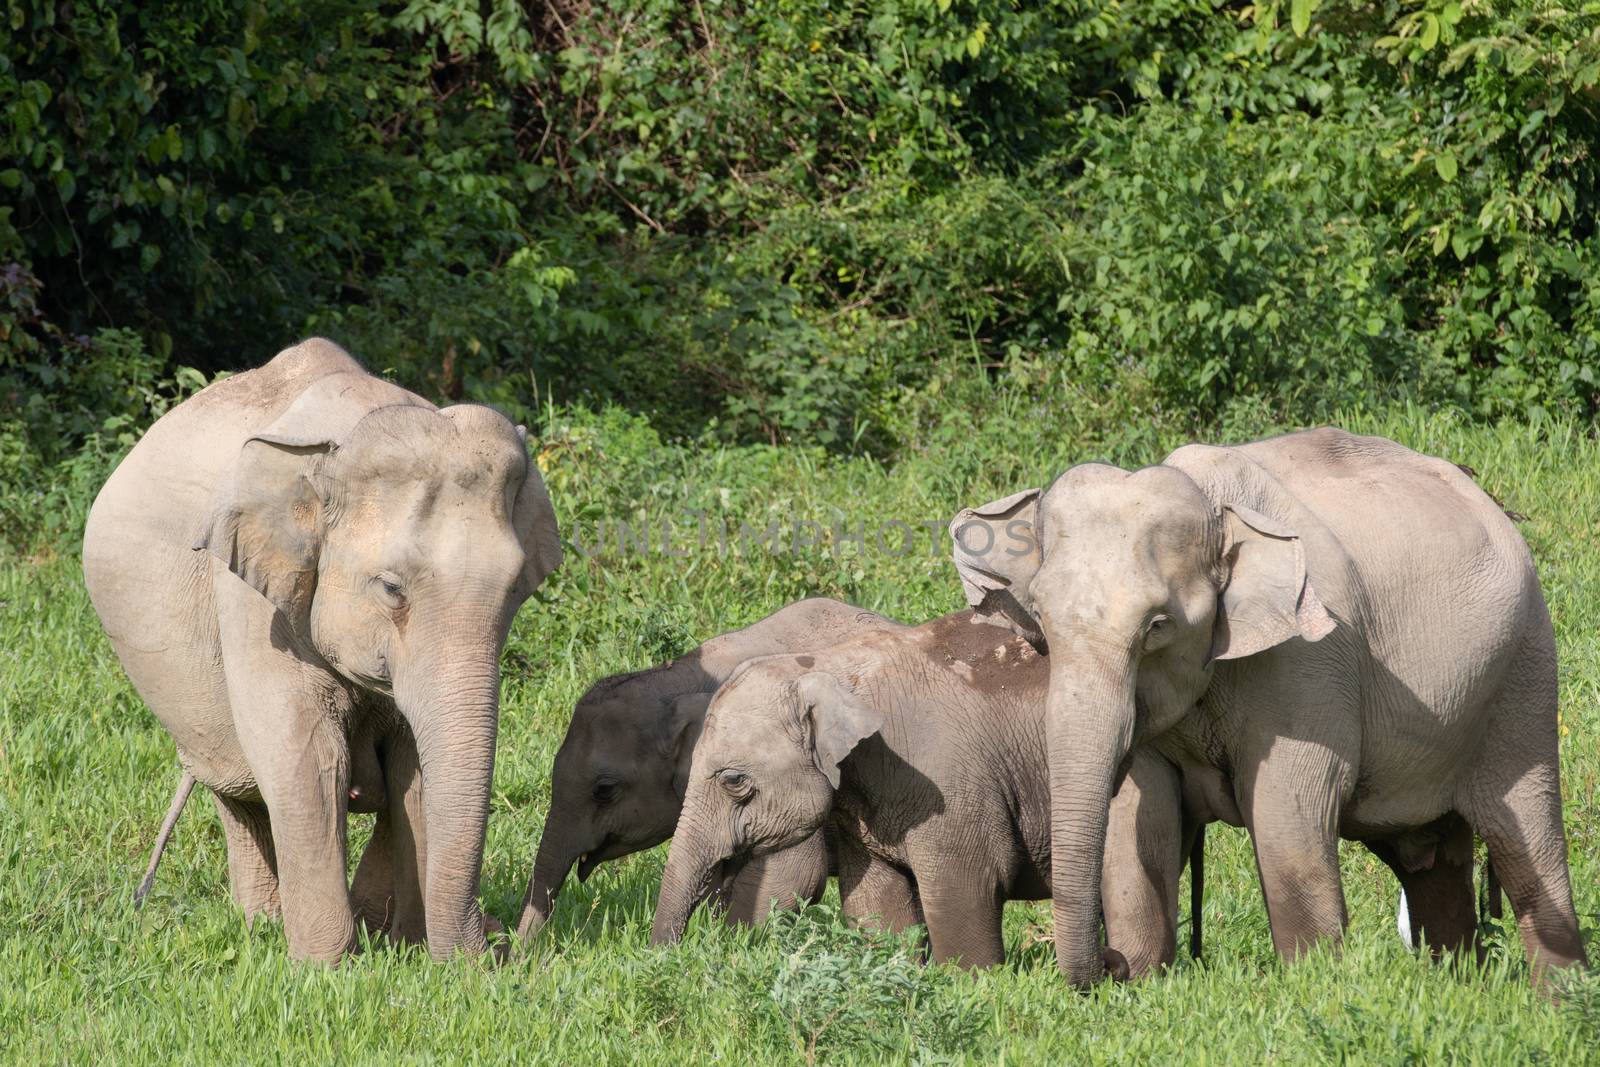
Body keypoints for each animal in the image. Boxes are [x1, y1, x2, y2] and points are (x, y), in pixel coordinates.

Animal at [81, 337, 560, 966]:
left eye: (515, 592)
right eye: (391, 588)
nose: (502, 948)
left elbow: (412, 766)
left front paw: (404, 948)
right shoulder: (253, 593)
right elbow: (307, 756)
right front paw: (327, 968)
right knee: (239, 788)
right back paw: (263, 925)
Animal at [646, 607, 1190, 979]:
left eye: (733, 781)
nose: (664, 960)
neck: (828, 666)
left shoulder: (947, 783)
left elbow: (966, 883)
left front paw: (972, 985)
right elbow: (876, 903)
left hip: (1143, 785)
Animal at [947, 422, 1587, 985]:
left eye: (1157, 626)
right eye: (1040, 619)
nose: (1110, 964)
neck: (1212, 503)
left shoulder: (1311, 659)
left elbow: (1289, 814)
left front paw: (1315, 988)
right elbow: (1141, 820)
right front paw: (1145, 982)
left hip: (1523, 669)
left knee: (1526, 845)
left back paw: (1559, 1003)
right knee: (1432, 866)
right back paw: (1460, 984)